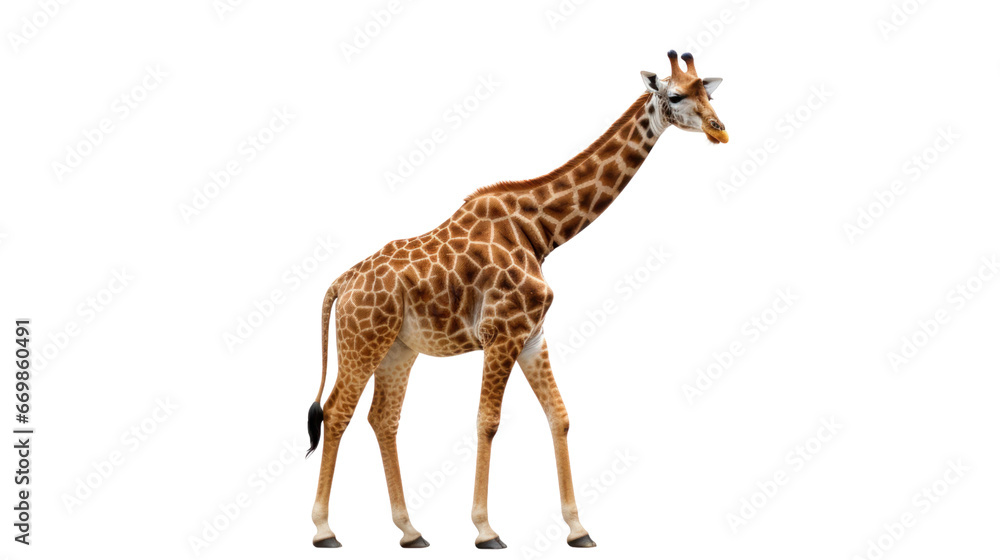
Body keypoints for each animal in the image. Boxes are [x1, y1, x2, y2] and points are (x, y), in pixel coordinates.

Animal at [306, 50, 727, 549]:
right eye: (675, 96)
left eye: (710, 93)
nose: (720, 129)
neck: (541, 233)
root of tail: (342, 281)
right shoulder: (501, 333)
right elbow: (487, 420)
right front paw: (486, 529)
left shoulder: (532, 336)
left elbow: (559, 416)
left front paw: (578, 528)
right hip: (363, 340)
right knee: (337, 412)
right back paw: (324, 529)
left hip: (398, 348)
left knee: (383, 418)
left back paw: (410, 530)